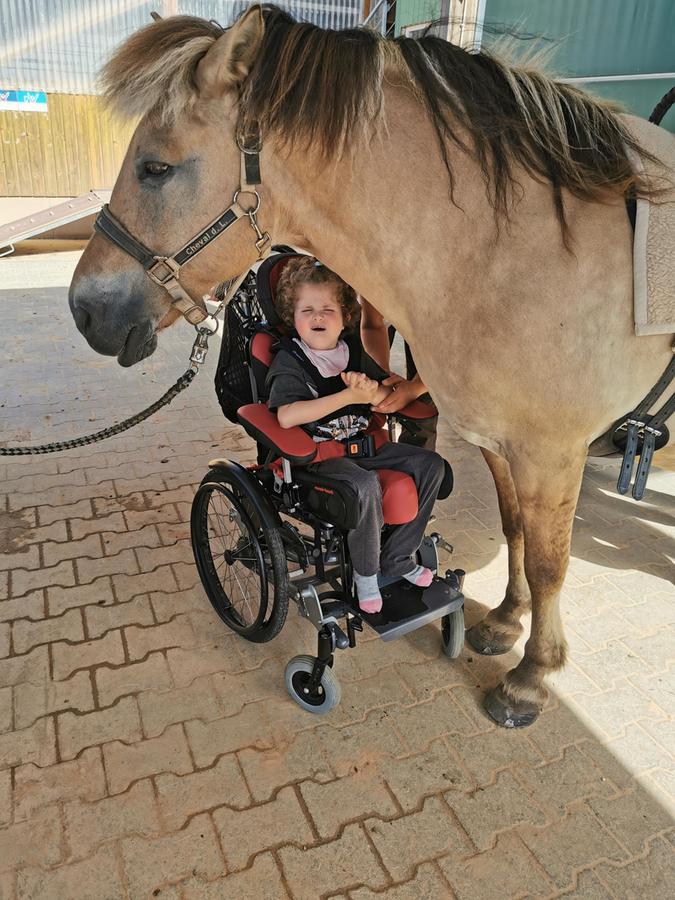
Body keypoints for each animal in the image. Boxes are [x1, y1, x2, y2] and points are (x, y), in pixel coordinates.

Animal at [70, 5, 675, 724]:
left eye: (156, 168)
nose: (83, 310)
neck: (514, 253)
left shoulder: (551, 451)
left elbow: (549, 561)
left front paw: (529, 678)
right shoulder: (503, 444)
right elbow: (517, 535)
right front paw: (503, 623)